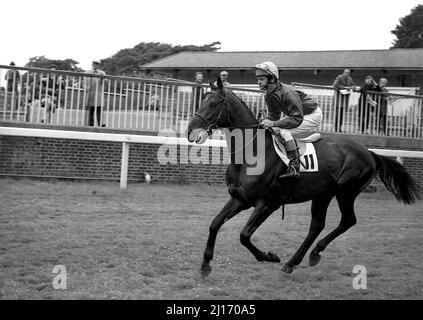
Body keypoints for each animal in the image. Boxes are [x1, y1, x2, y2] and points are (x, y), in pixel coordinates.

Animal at [188, 77, 420, 276]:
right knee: (318, 225)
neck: (252, 153)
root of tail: (369, 152)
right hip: (323, 195)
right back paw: (299, 259)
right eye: (202, 100)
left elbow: (244, 235)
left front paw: (269, 257)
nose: (191, 131)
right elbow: (215, 224)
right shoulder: (240, 198)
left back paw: (304, 256)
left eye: (213, 103)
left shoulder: (268, 203)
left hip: (345, 192)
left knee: (347, 220)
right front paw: (206, 264)